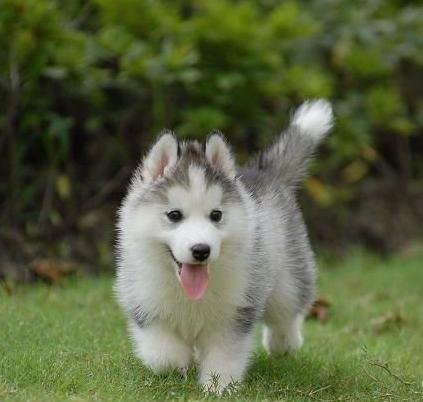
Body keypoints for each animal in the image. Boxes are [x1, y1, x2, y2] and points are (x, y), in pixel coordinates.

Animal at [116, 99, 334, 392]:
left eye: (216, 215)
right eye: (174, 215)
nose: (201, 250)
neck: (190, 294)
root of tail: (263, 174)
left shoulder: (235, 312)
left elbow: (224, 353)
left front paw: (219, 386)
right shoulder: (145, 304)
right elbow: (163, 353)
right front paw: (180, 364)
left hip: (287, 276)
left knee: (287, 311)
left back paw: (284, 343)